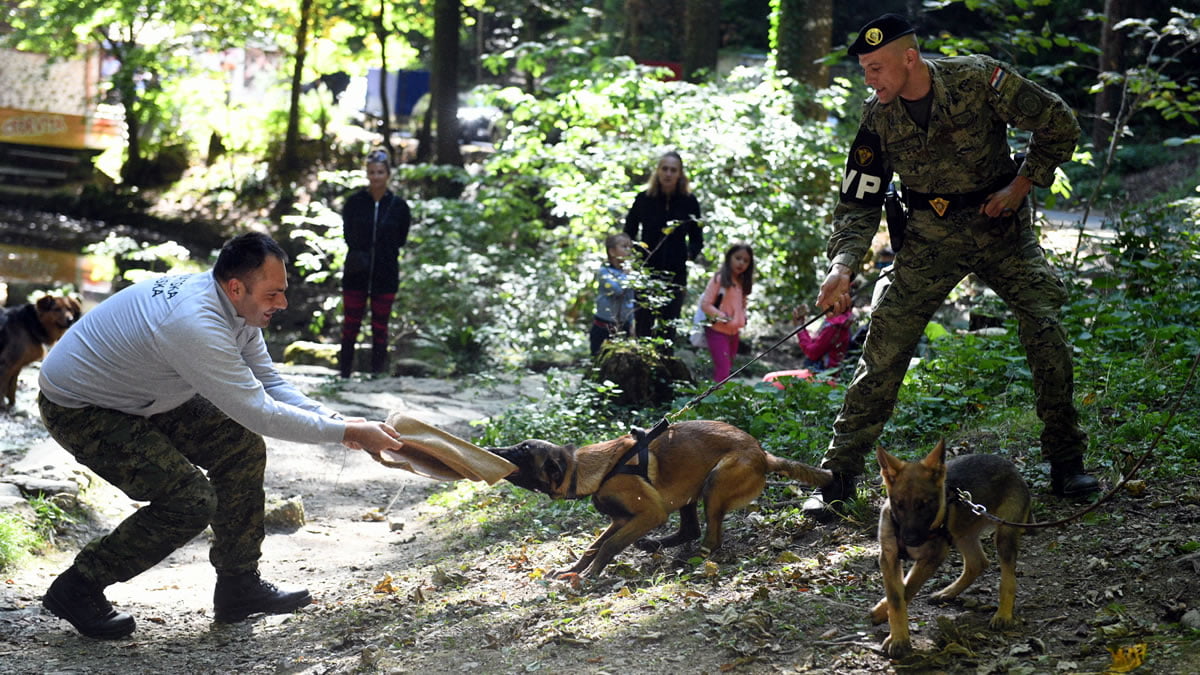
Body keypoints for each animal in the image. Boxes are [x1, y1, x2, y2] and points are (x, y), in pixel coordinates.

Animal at [487, 415, 835, 578]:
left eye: (522, 451)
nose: (490, 448)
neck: (592, 469)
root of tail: (762, 453)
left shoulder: (649, 514)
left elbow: (609, 546)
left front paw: (589, 575)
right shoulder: (622, 519)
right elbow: (593, 546)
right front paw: (573, 569)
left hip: (713, 483)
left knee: (711, 538)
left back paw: (690, 557)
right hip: (689, 491)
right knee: (690, 529)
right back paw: (655, 545)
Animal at [873, 439, 1032, 653]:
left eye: (925, 505)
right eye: (899, 505)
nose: (910, 540)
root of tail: (1011, 466)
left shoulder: (933, 556)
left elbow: (907, 591)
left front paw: (897, 638)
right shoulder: (889, 557)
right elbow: (896, 598)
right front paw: (891, 624)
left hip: (1004, 535)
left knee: (1007, 578)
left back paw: (1003, 614)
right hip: (962, 534)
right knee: (977, 563)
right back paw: (946, 592)